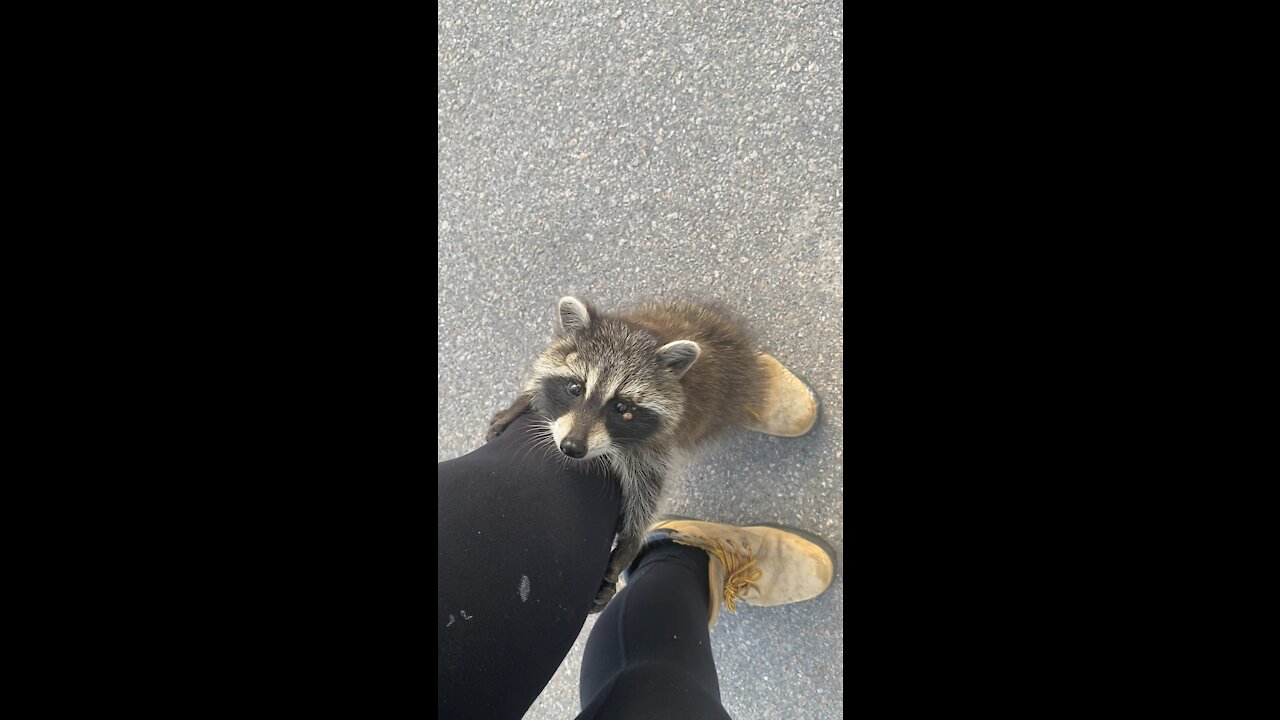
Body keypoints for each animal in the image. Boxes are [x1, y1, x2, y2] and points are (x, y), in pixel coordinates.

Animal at [486, 294, 768, 607]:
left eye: (621, 407)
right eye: (574, 388)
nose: (572, 447)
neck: (636, 330)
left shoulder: (655, 444)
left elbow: (648, 487)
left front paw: (632, 537)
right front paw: (524, 400)